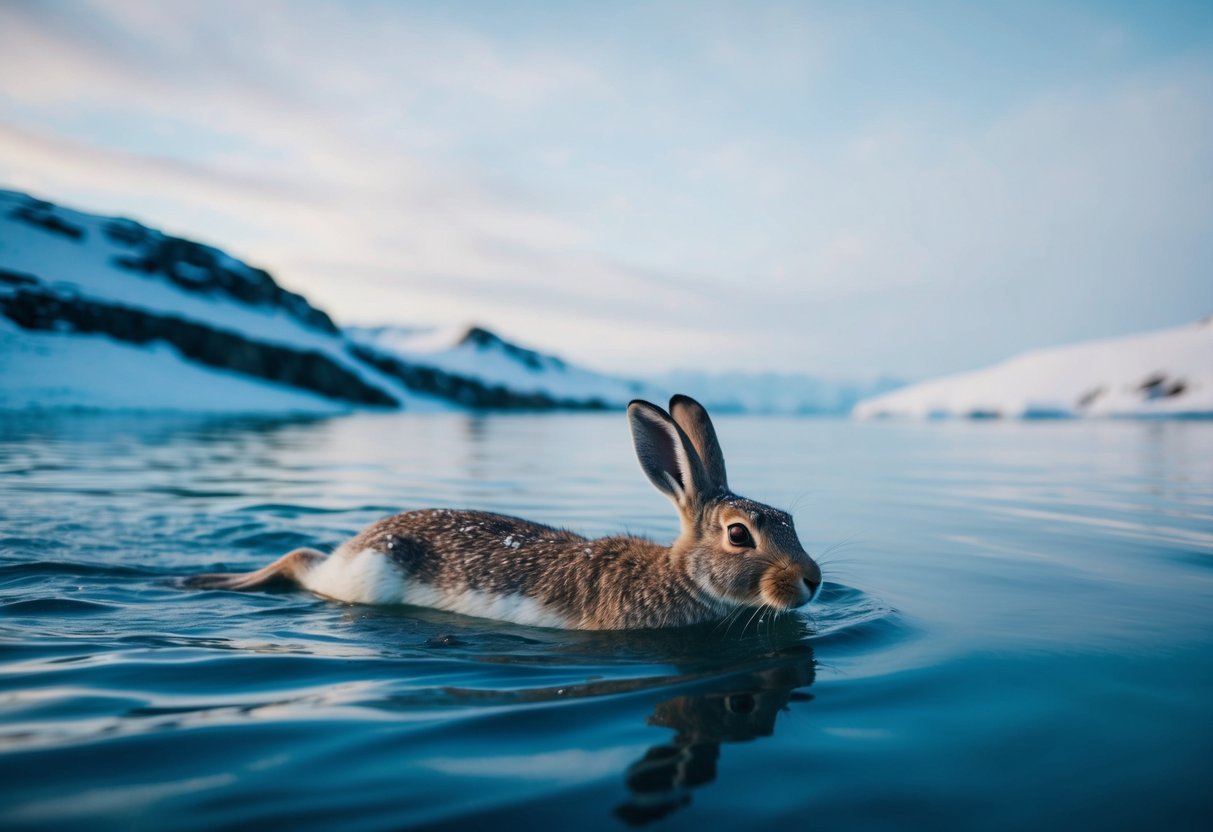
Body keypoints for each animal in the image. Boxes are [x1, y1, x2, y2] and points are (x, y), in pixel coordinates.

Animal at [184, 395, 823, 630]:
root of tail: (363, 539)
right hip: (360, 580)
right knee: (299, 560)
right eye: (739, 536)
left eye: (789, 522)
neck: (678, 574)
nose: (812, 581)